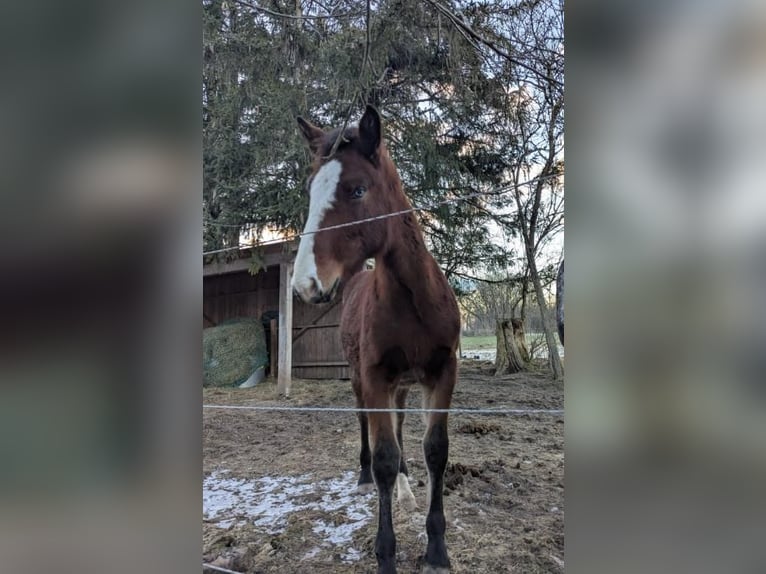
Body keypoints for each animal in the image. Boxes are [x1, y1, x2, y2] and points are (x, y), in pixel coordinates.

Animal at [292, 106, 462, 572]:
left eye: (357, 189)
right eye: (311, 190)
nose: (305, 284)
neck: (415, 302)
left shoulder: (443, 371)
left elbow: (435, 449)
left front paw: (436, 549)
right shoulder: (374, 375)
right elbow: (384, 453)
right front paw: (386, 553)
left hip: (402, 384)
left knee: (401, 426)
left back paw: (405, 488)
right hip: (361, 379)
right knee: (365, 423)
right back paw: (365, 476)